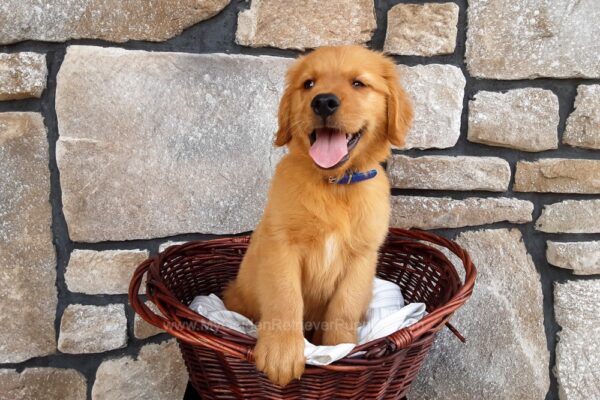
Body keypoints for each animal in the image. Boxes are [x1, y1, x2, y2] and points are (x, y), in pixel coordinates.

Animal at [224, 45, 412, 386]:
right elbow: (285, 299)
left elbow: (344, 306)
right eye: (309, 84)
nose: (323, 101)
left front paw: (341, 348)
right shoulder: (281, 245)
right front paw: (281, 353)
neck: (334, 185)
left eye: (358, 84)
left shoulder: (362, 256)